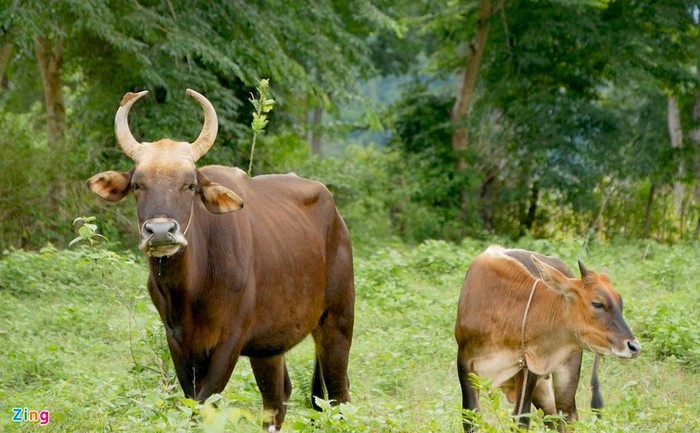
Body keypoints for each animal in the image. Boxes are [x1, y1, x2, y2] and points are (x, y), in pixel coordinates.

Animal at [87, 89, 356, 430]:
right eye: (137, 185)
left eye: (190, 184)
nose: (160, 232)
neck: (191, 289)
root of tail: (336, 216)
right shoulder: (178, 341)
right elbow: (192, 403)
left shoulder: (230, 341)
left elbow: (203, 406)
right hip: (269, 347)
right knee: (277, 399)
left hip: (338, 321)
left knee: (337, 395)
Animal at [454, 245, 640, 430]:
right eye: (597, 303)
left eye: (620, 303)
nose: (634, 346)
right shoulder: (465, 363)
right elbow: (471, 418)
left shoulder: (529, 369)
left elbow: (521, 420)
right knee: (552, 419)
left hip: (564, 376)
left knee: (567, 416)